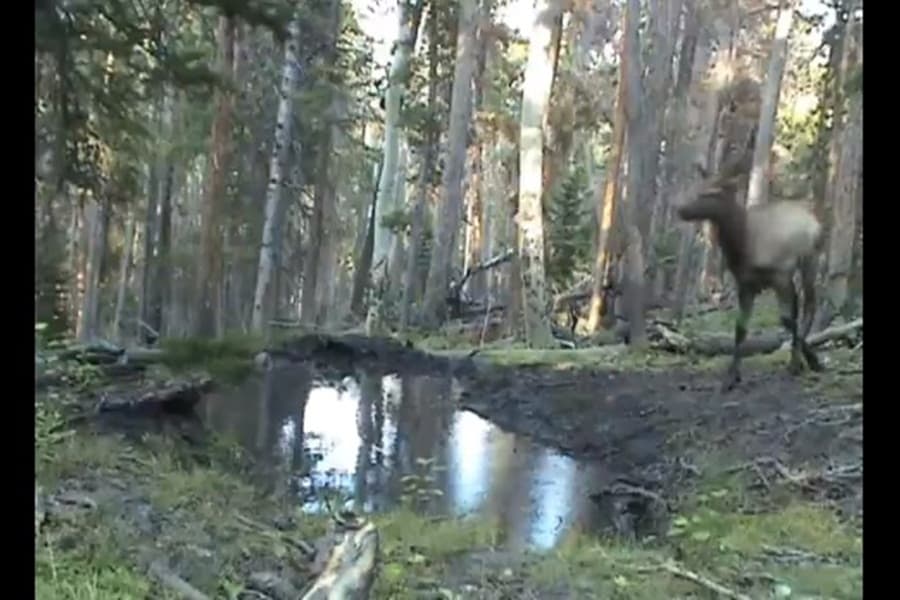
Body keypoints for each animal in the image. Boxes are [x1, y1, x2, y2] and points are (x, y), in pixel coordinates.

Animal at [675, 166, 826, 392]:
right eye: (697, 187)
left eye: (710, 193)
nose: (680, 209)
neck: (742, 245)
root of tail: (815, 221)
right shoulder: (745, 283)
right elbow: (741, 328)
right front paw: (731, 377)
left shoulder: (779, 276)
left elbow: (786, 319)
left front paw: (810, 361)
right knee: (799, 308)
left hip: (809, 261)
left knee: (809, 305)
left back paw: (799, 360)